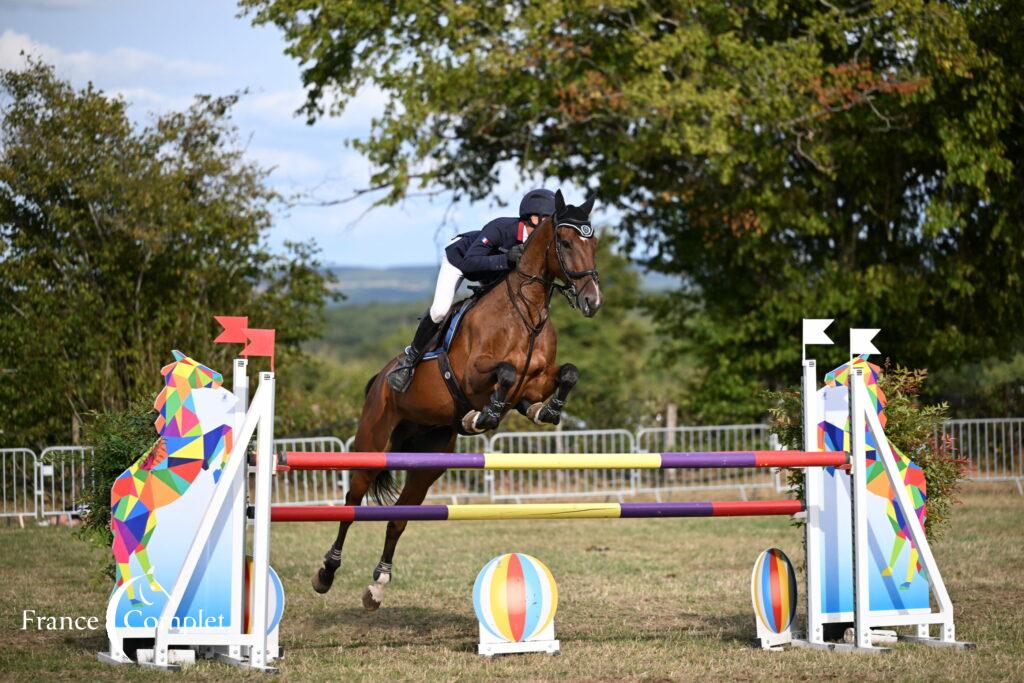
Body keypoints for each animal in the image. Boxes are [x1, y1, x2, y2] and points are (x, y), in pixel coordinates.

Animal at [311, 191, 598, 610]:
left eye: (594, 243)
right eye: (564, 242)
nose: (593, 301)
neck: (526, 312)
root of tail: (378, 379)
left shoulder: (536, 380)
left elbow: (567, 374)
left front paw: (545, 410)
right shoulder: (473, 375)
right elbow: (505, 374)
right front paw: (482, 416)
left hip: (427, 461)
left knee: (399, 518)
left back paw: (378, 585)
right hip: (372, 443)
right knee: (352, 501)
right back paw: (326, 572)